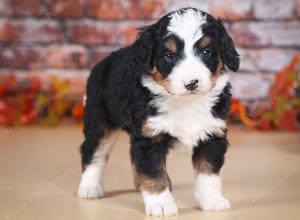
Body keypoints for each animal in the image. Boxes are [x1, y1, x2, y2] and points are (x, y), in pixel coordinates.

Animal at [77, 7, 239, 217]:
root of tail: (101, 63)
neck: (185, 103)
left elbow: (208, 172)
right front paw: (161, 204)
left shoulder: (212, 134)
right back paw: (89, 187)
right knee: (93, 152)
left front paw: (211, 200)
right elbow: (154, 172)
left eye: (207, 52)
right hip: (100, 121)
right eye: (169, 55)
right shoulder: (150, 137)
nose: (192, 83)